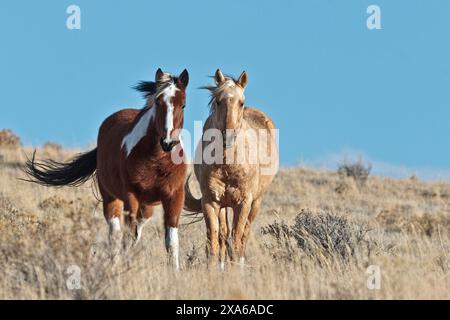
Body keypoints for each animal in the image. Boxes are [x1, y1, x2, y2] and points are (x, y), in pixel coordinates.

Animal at [23, 68, 189, 270]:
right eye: (158, 103)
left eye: (183, 105)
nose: (168, 142)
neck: (157, 160)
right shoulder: (131, 196)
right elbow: (127, 236)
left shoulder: (174, 196)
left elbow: (171, 241)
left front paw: (175, 271)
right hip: (111, 198)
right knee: (116, 235)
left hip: (147, 206)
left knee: (136, 230)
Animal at [184, 69, 278, 268]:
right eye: (218, 101)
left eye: (241, 102)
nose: (228, 136)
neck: (228, 165)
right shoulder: (211, 202)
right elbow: (215, 240)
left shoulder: (243, 203)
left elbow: (236, 240)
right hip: (223, 205)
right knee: (223, 235)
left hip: (255, 203)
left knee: (243, 237)